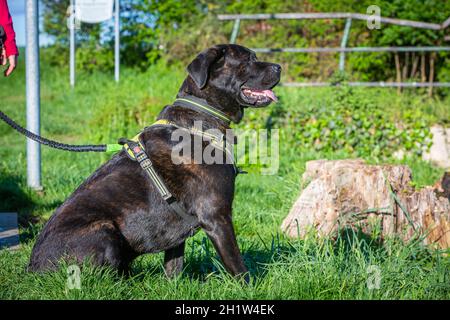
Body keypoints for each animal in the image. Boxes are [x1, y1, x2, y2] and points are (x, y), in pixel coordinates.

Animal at [28, 43, 282, 278]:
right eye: (248, 60)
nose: (279, 67)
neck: (202, 117)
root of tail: (32, 268)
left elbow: (173, 267)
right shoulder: (216, 216)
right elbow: (238, 266)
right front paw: (251, 288)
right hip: (104, 230)